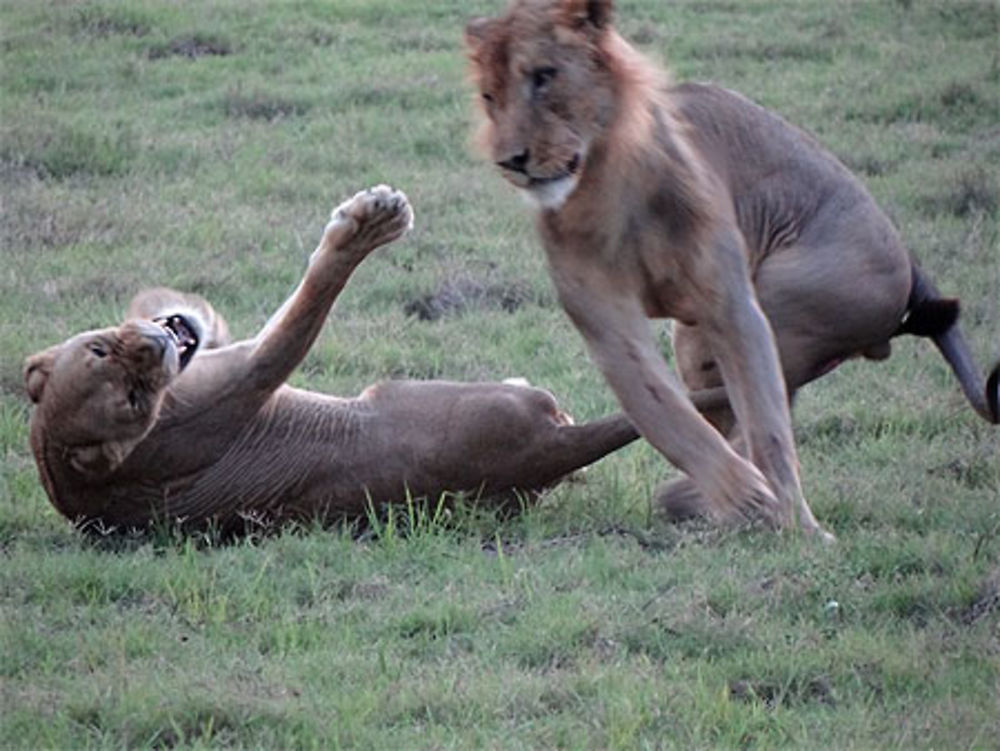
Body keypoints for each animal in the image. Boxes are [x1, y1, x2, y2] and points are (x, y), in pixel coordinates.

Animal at [23, 185, 636, 532]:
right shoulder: (243, 383)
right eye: (133, 400)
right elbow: (304, 310)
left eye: (102, 349)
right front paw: (369, 223)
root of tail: (550, 451)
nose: (156, 346)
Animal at [464, 0, 996, 540]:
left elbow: (766, 422)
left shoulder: (731, 303)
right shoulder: (608, 323)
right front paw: (742, 495)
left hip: (792, 304)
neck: (604, 182)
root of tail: (911, 260)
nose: (512, 160)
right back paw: (699, 500)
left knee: (769, 401)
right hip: (695, 343)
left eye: (544, 76)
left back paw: (699, 499)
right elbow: (667, 415)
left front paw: (795, 521)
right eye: (490, 95)